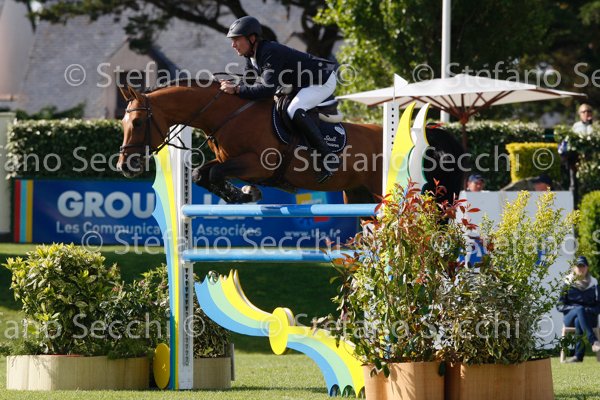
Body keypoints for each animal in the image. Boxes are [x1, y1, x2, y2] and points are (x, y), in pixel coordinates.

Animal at [117, 80, 465, 204]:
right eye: (122, 123)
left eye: (137, 123)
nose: (124, 166)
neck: (226, 114)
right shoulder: (234, 162)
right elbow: (202, 173)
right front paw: (242, 194)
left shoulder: (258, 163)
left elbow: (211, 172)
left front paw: (243, 194)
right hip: (357, 194)